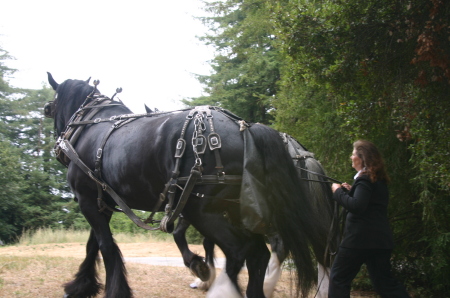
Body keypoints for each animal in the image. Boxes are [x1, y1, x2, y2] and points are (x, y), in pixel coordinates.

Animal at [45, 73, 330, 298]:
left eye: (51, 107)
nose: (58, 144)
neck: (89, 125)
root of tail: (245, 129)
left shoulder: (87, 199)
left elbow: (106, 247)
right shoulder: (101, 201)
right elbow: (93, 245)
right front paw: (81, 285)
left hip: (201, 208)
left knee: (244, 250)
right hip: (232, 208)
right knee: (259, 253)